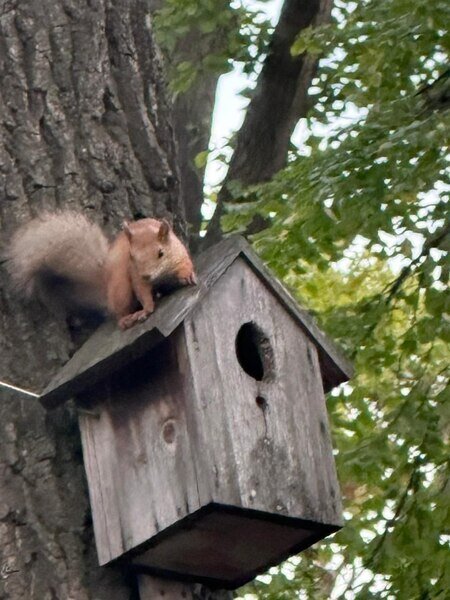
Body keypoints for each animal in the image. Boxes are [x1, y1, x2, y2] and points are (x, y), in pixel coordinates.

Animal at [6, 211, 197, 330]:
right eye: (131, 256)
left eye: (161, 253)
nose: (146, 275)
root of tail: (106, 283)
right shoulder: (134, 274)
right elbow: (143, 292)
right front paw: (147, 309)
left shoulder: (179, 256)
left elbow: (185, 266)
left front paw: (189, 277)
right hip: (120, 287)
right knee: (118, 310)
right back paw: (126, 319)